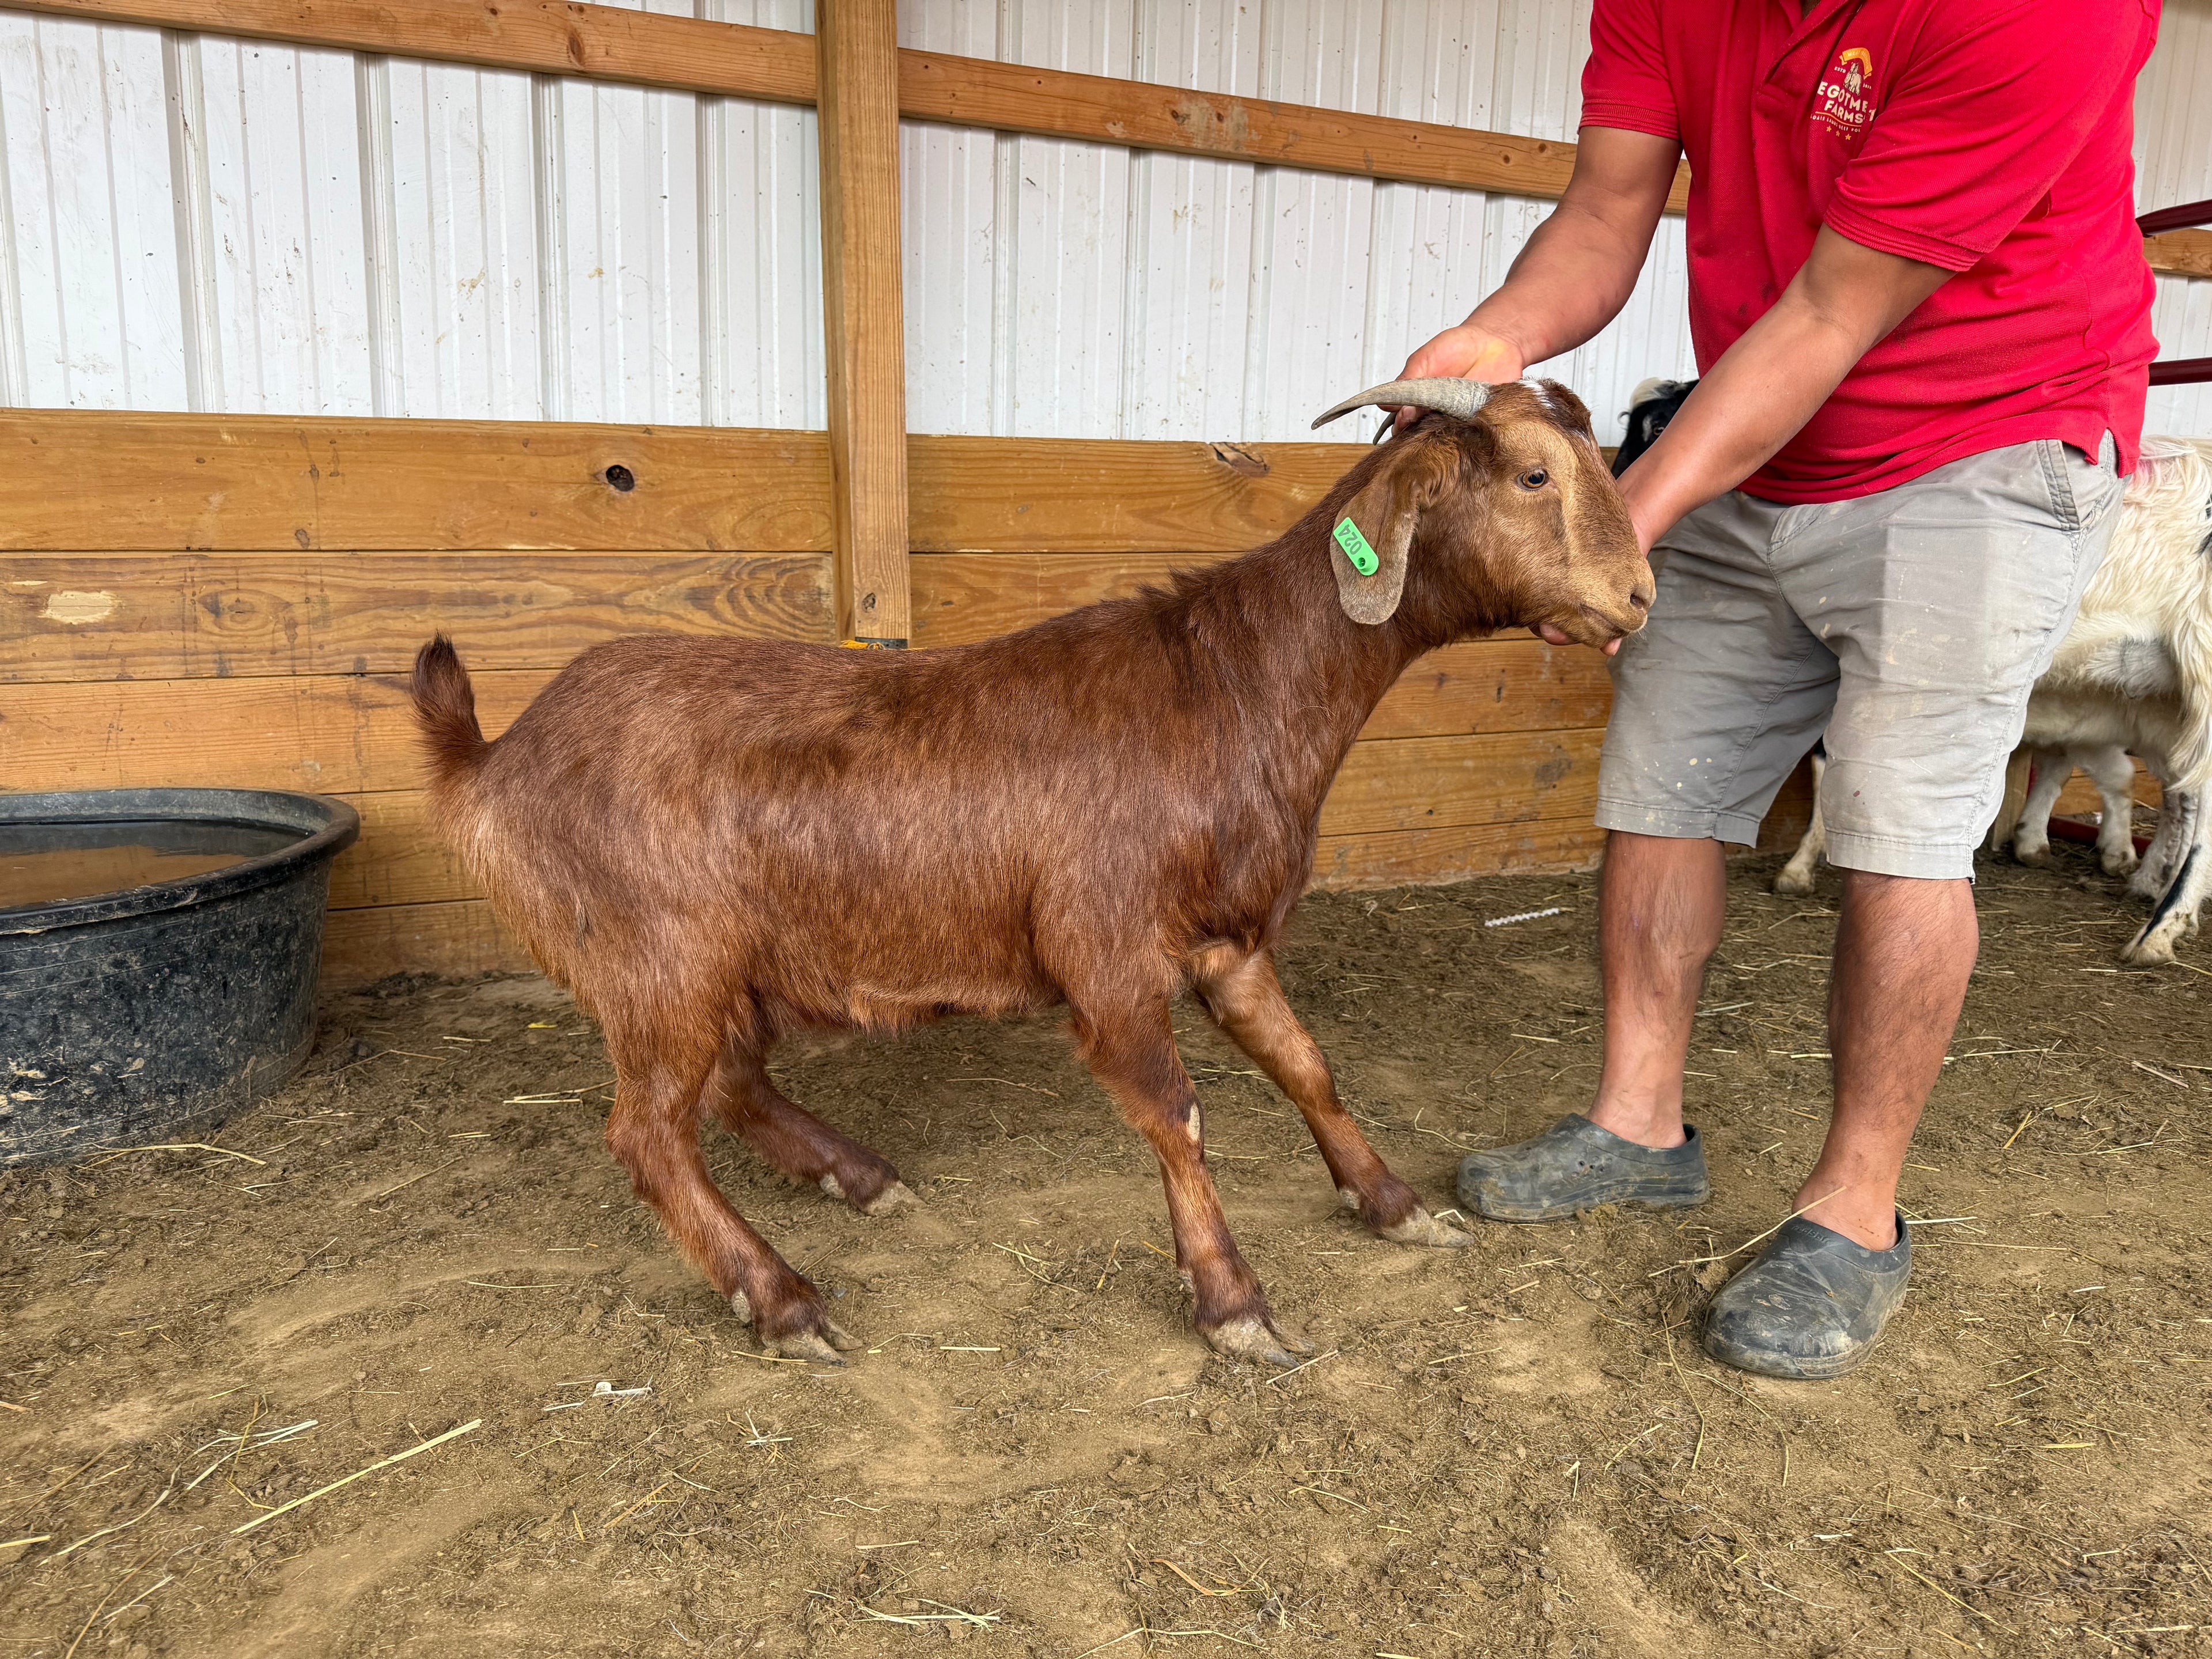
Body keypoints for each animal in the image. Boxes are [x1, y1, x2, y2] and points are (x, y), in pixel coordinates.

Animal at [410, 378, 1653, 1367]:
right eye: (1535, 474)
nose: (1639, 597)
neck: (1232, 686)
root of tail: (491, 761)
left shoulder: (1226, 938)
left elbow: (1307, 1067)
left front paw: (1394, 1204)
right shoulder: (1107, 953)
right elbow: (1176, 1113)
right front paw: (1235, 1303)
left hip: (721, 968)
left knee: (726, 1086)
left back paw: (856, 1177)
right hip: (661, 962)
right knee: (650, 1135)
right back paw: (783, 1298)